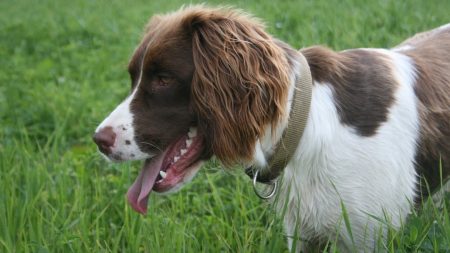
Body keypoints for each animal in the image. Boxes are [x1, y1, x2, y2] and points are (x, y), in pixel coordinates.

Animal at [92, 5, 450, 251]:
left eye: (163, 79)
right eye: (133, 77)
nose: (99, 140)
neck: (303, 126)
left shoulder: (369, 234)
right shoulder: (303, 234)